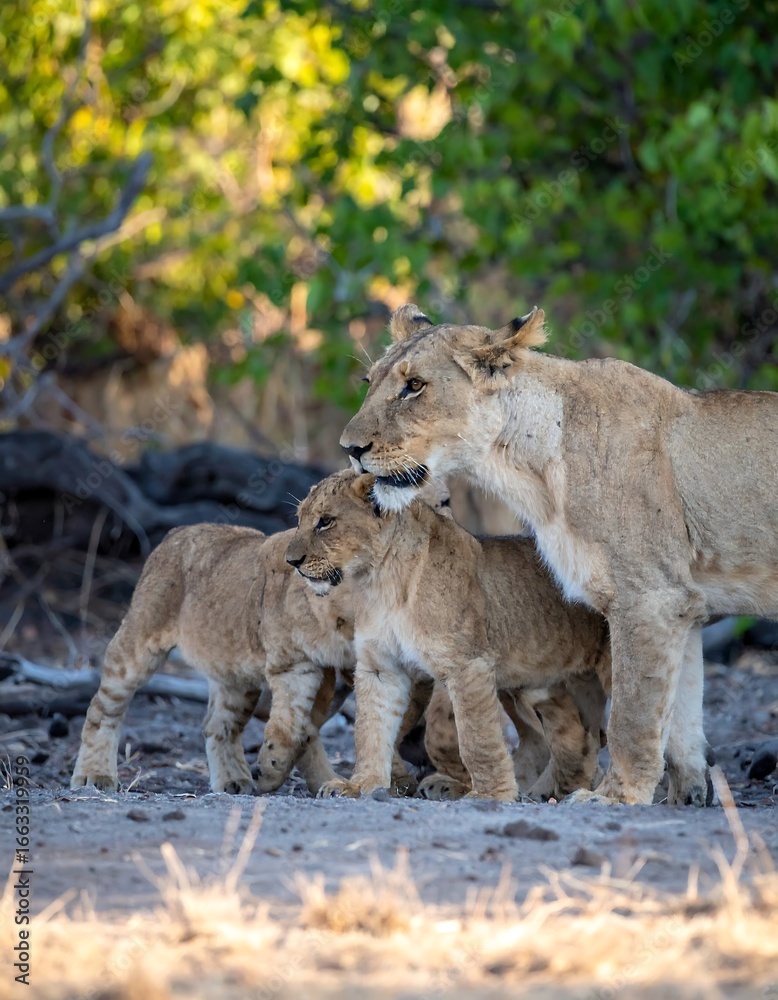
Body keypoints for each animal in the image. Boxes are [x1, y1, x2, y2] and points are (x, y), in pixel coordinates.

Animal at [71, 523, 424, 796]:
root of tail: (176, 532)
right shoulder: (293, 665)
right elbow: (290, 726)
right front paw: (273, 768)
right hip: (139, 640)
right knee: (103, 708)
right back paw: (94, 775)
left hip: (236, 676)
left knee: (218, 726)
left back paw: (234, 780)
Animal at [285, 469, 611, 801]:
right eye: (299, 519)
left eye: (326, 521)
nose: (291, 561)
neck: (382, 579)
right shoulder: (381, 668)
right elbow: (370, 729)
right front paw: (361, 783)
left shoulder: (468, 664)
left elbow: (475, 737)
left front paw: (491, 794)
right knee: (575, 734)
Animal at [339, 304, 778, 805]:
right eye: (369, 381)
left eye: (415, 386)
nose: (350, 449)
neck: (526, 468)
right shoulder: (683, 604)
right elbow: (680, 718)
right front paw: (684, 796)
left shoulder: (650, 597)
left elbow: (632, 715)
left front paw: (615, 797)